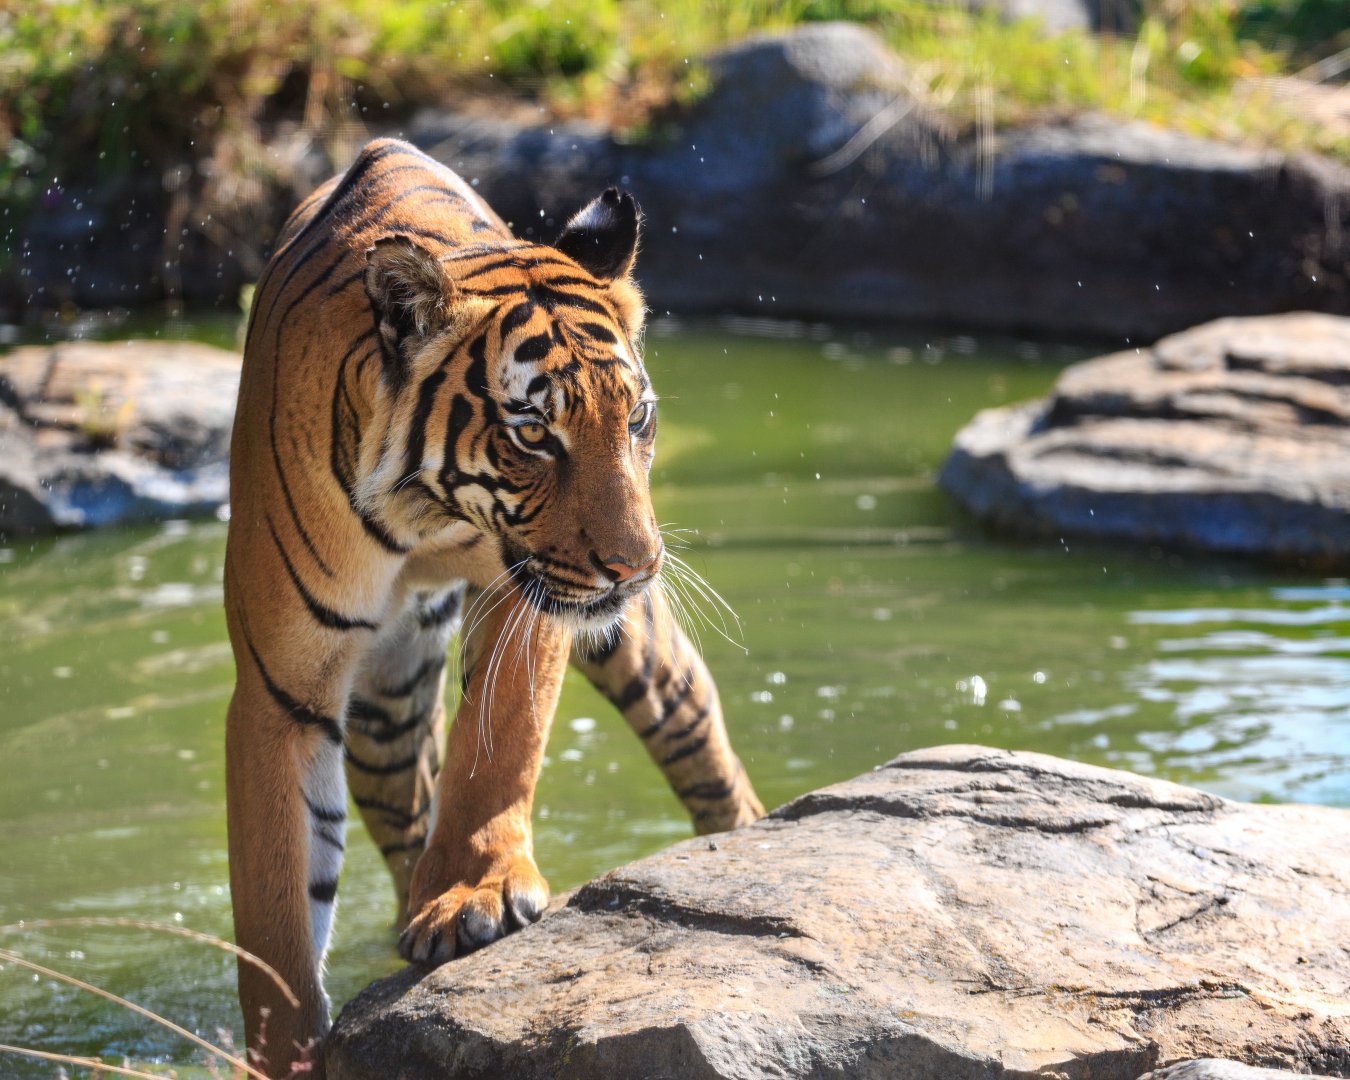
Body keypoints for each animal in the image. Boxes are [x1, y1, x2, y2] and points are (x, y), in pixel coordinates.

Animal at [223, 137, 765, 1076]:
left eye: (637, 419)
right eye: (533, 434)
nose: (638, 567)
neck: (425, 516)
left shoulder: (532, 590)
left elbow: (498, 737)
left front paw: (469, 896)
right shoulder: (277, 688)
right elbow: (277, 921)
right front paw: (288, 1047)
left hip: (642, 662)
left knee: (701, 745)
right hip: (383, 716)